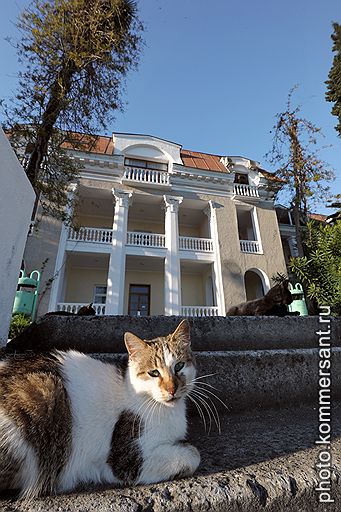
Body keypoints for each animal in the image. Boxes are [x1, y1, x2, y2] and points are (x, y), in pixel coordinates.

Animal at [0, 318, 199, 498]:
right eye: (154, 373)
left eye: (179, 366)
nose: (172, 389)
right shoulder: (128, 460)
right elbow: (193, 455)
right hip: (44, 393)